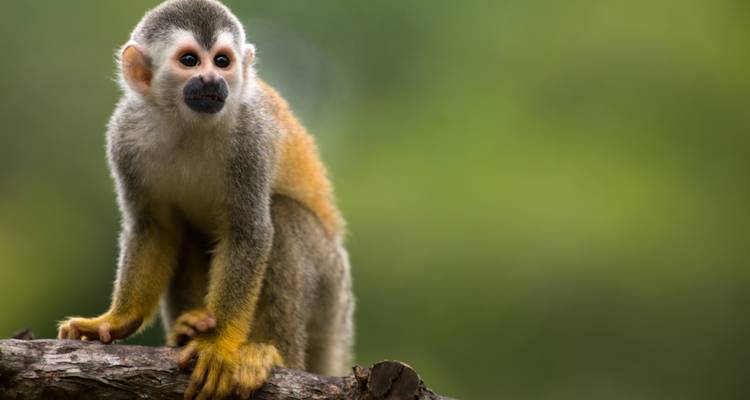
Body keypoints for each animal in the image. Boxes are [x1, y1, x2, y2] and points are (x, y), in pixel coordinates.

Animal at [56, 1, 354, 399]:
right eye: (190, 60)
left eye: (222, 61)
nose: (213, 81)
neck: (188, 122)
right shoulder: (123, 135)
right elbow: (153, 227)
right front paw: (116, 320)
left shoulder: (250, 136)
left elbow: (249, 231)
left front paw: (218, 344)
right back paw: (188, 330)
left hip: (331, 295)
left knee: (283, 215)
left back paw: (270, 353)